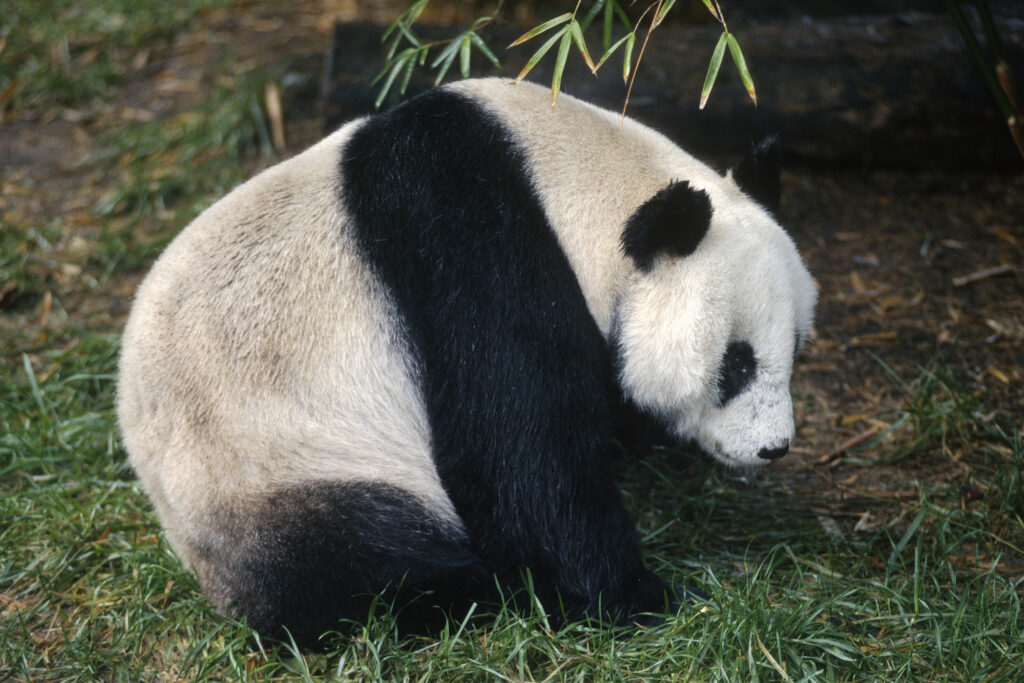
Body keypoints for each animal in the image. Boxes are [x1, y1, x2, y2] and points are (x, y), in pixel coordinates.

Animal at [117, 77, 817, 646]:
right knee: (359, 563)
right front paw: (646, 596)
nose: (773, 448)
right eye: (735, 364)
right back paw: (476, 590)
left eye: (794, 348)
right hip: (277, 464)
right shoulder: (473, 248)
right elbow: (523, 455)